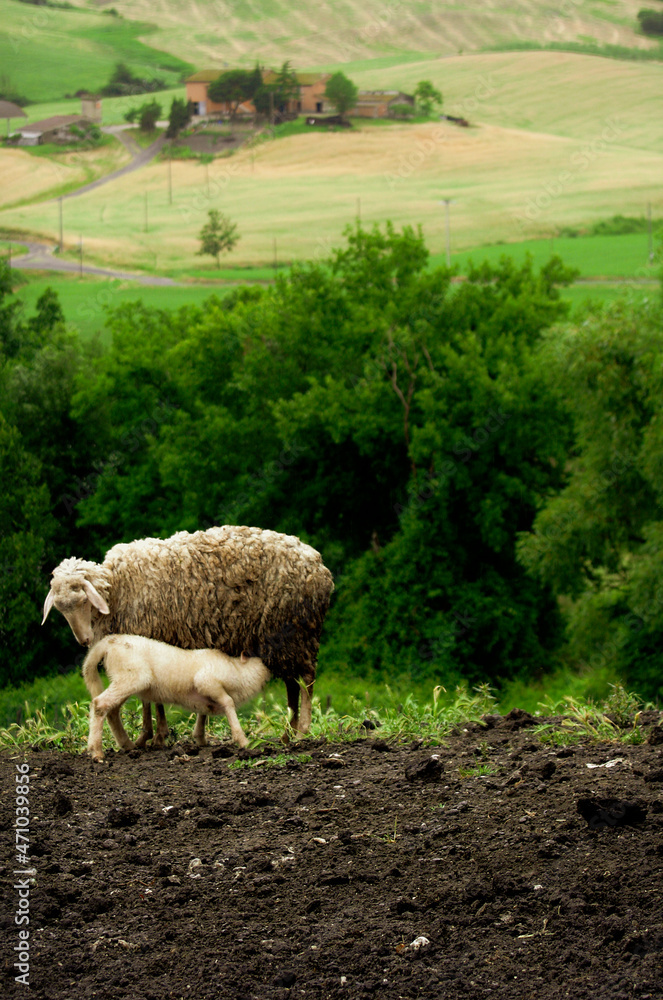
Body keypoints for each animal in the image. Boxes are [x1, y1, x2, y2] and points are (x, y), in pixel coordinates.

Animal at [42, 526, 334, 747]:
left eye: (82, 600)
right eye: (60, 609)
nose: (83, 640)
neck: (117, 588)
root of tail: (320, 567)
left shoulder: (149, 635)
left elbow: (148, 698)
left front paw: (152, 736)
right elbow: (152, 695)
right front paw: (155, 736)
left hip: (294, 631)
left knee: (306, 680)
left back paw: (302, 730)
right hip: (283, 639)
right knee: (292, 684)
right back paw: (287, 733)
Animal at [83, 634, 271, 761]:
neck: (238, 671)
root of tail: (108, 642)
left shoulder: (206, 694)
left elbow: (203, 712)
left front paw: (201, 739)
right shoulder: (206, 681)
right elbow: (228, 703)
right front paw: (243, 741)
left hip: (123, 680)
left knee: (112, 710)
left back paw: (127, 745)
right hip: (131, 677)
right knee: (100, 704)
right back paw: (97, 752)